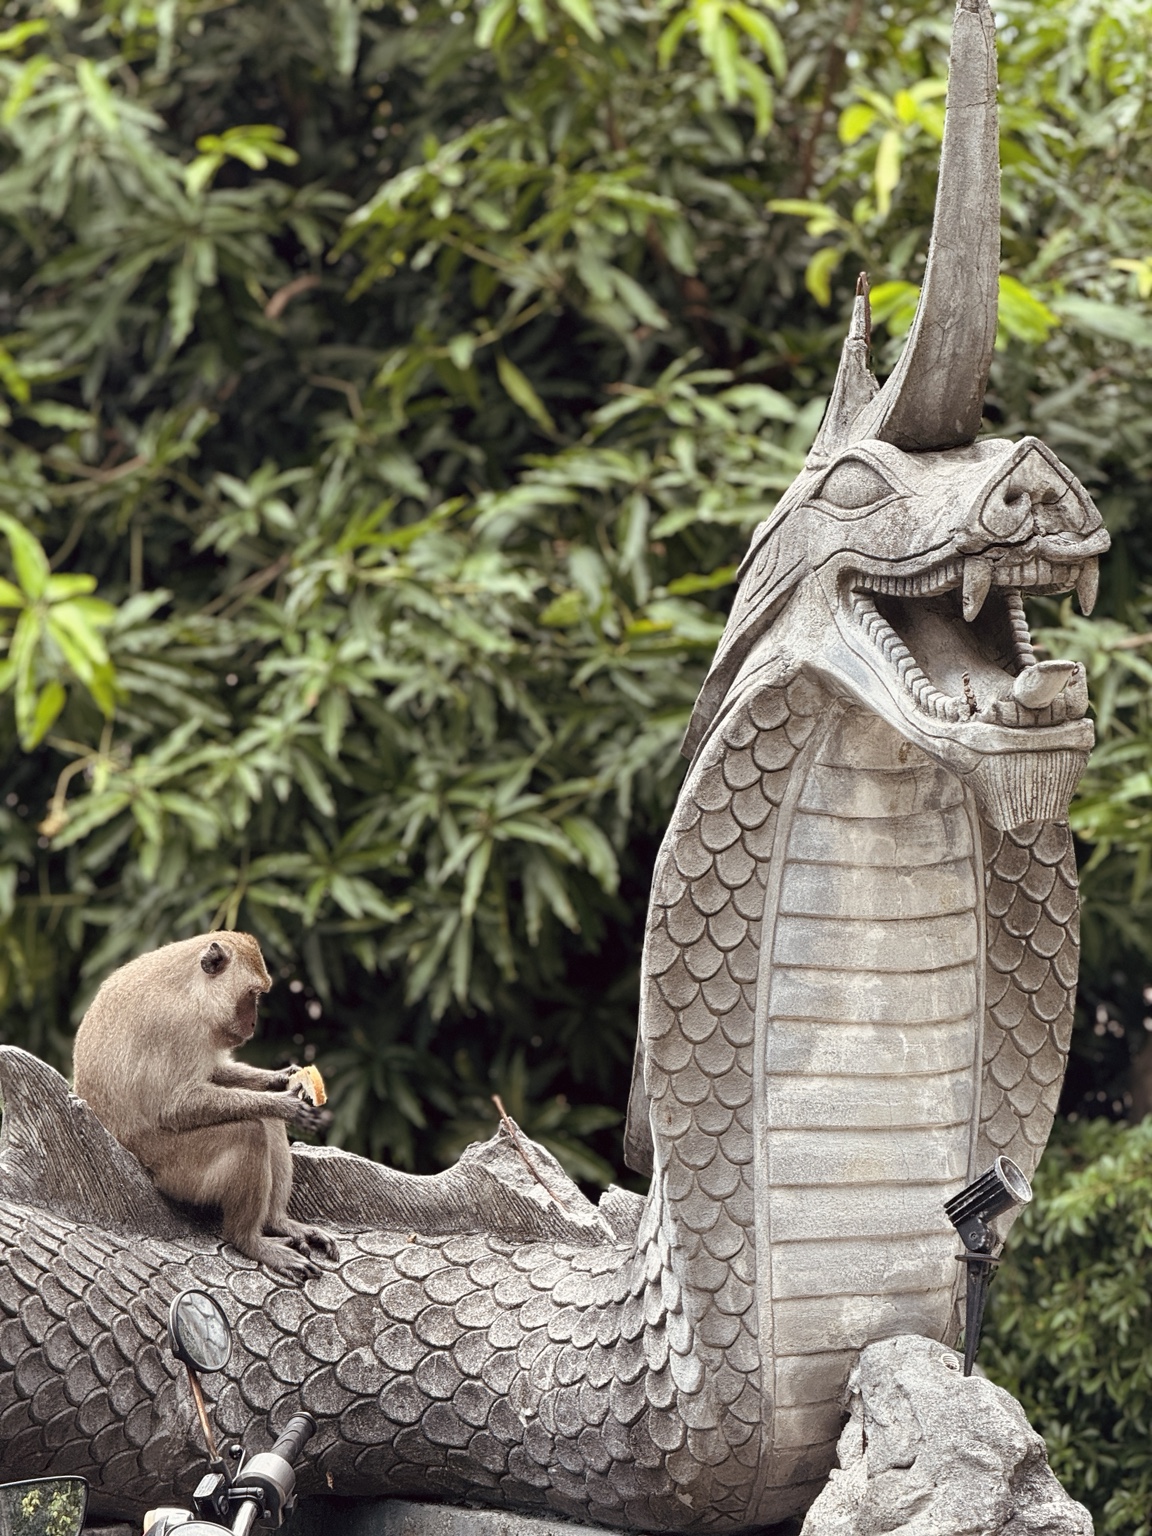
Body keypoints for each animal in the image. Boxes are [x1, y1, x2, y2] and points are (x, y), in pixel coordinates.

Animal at [73, 931, 337, 1280]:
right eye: (253, 994)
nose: (253, 1024)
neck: (189, 988)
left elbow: (214, 1074)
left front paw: (284, 1079)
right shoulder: (176, 1025)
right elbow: (174, 1107)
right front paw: (283, 1104)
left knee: (263, 1123)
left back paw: (278, 1223)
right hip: (175, 1171)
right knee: (248, 1132)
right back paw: (249, 1241)